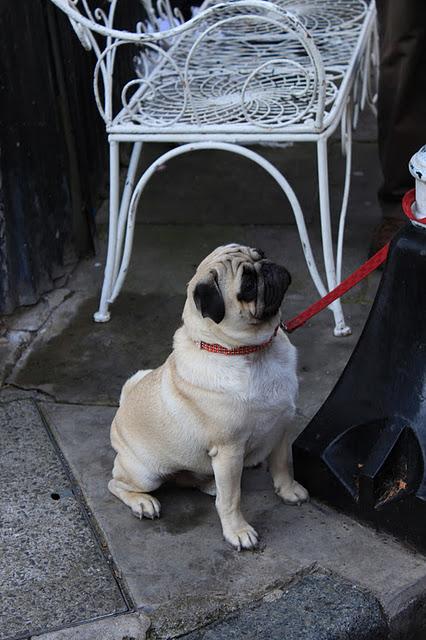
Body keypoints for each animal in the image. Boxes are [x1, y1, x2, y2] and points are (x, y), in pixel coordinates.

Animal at [109, 245, 310, 552]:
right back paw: (143, 502)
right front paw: (237, 531)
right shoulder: (229, 450)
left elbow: (283, 465)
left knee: (192, 480)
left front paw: (288, 491)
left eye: (261, 253)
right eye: (247, 286)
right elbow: (232, 500)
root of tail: (121, 410)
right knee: (117, 484)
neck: (251, 351)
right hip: (146, 473)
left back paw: (210, 484)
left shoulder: (281, 429)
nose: (267, 266)